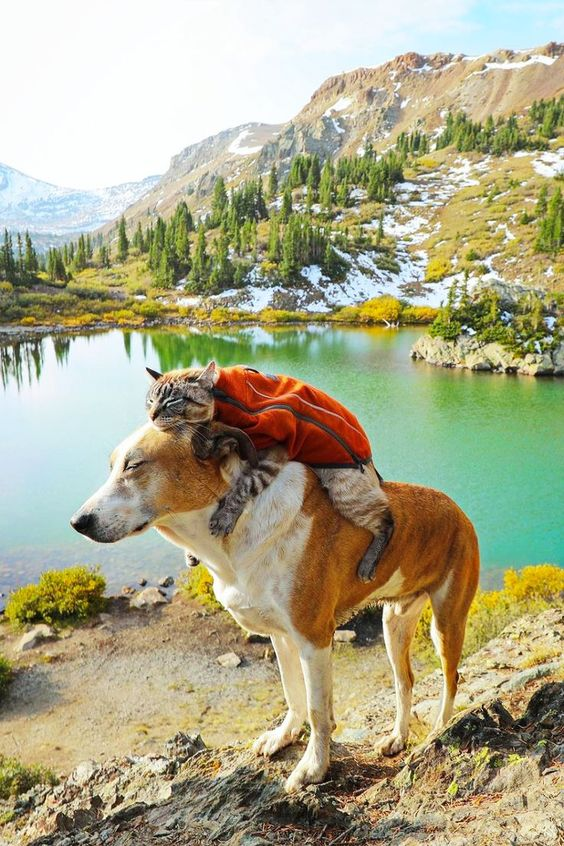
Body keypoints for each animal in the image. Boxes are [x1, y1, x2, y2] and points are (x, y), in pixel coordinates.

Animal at [69, 424, 476, 796]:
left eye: (135, 464)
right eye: (112, 466)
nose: (78, 522)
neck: (235, 527)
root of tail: (457, 508)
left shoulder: (314, 638)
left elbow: (317, 710)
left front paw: (313, 768)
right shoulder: (281, 636)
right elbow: (292, 693)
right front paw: (283, 737)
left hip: (446, 621)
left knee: (451, 678)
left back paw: (438, 731)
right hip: (394, 623)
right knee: (404, 681)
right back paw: (397, 738)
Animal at [145, 358, 392, 584]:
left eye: (173, 401)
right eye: (150, 401)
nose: (152, 415)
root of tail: (372, 465)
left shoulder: (272, 454)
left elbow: (244, 487)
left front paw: (225, 517)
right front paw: (190, 552)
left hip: (345, 494)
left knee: (387, 520)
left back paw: (368, 565)